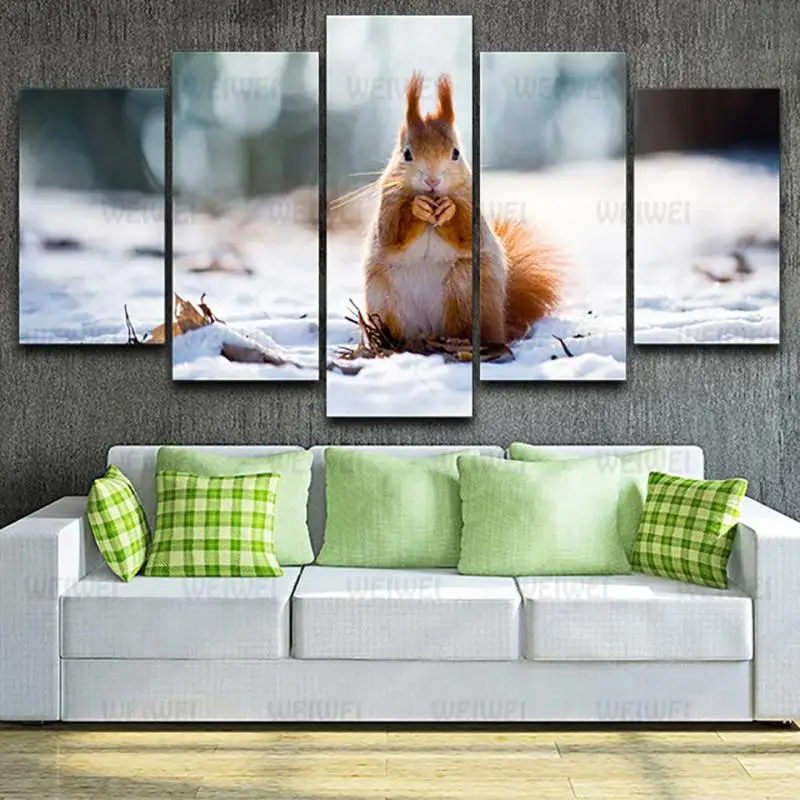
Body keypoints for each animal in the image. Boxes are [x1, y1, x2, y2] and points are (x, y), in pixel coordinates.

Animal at [362, 71, 560, 347]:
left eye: (456, 153)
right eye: (407, 154)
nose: (432, 181)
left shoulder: (471, 204)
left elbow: (467, 233)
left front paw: (449, 209)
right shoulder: (387, 205)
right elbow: (391, 233)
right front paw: (416, 207)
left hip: (466, 287)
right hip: (383, 297)